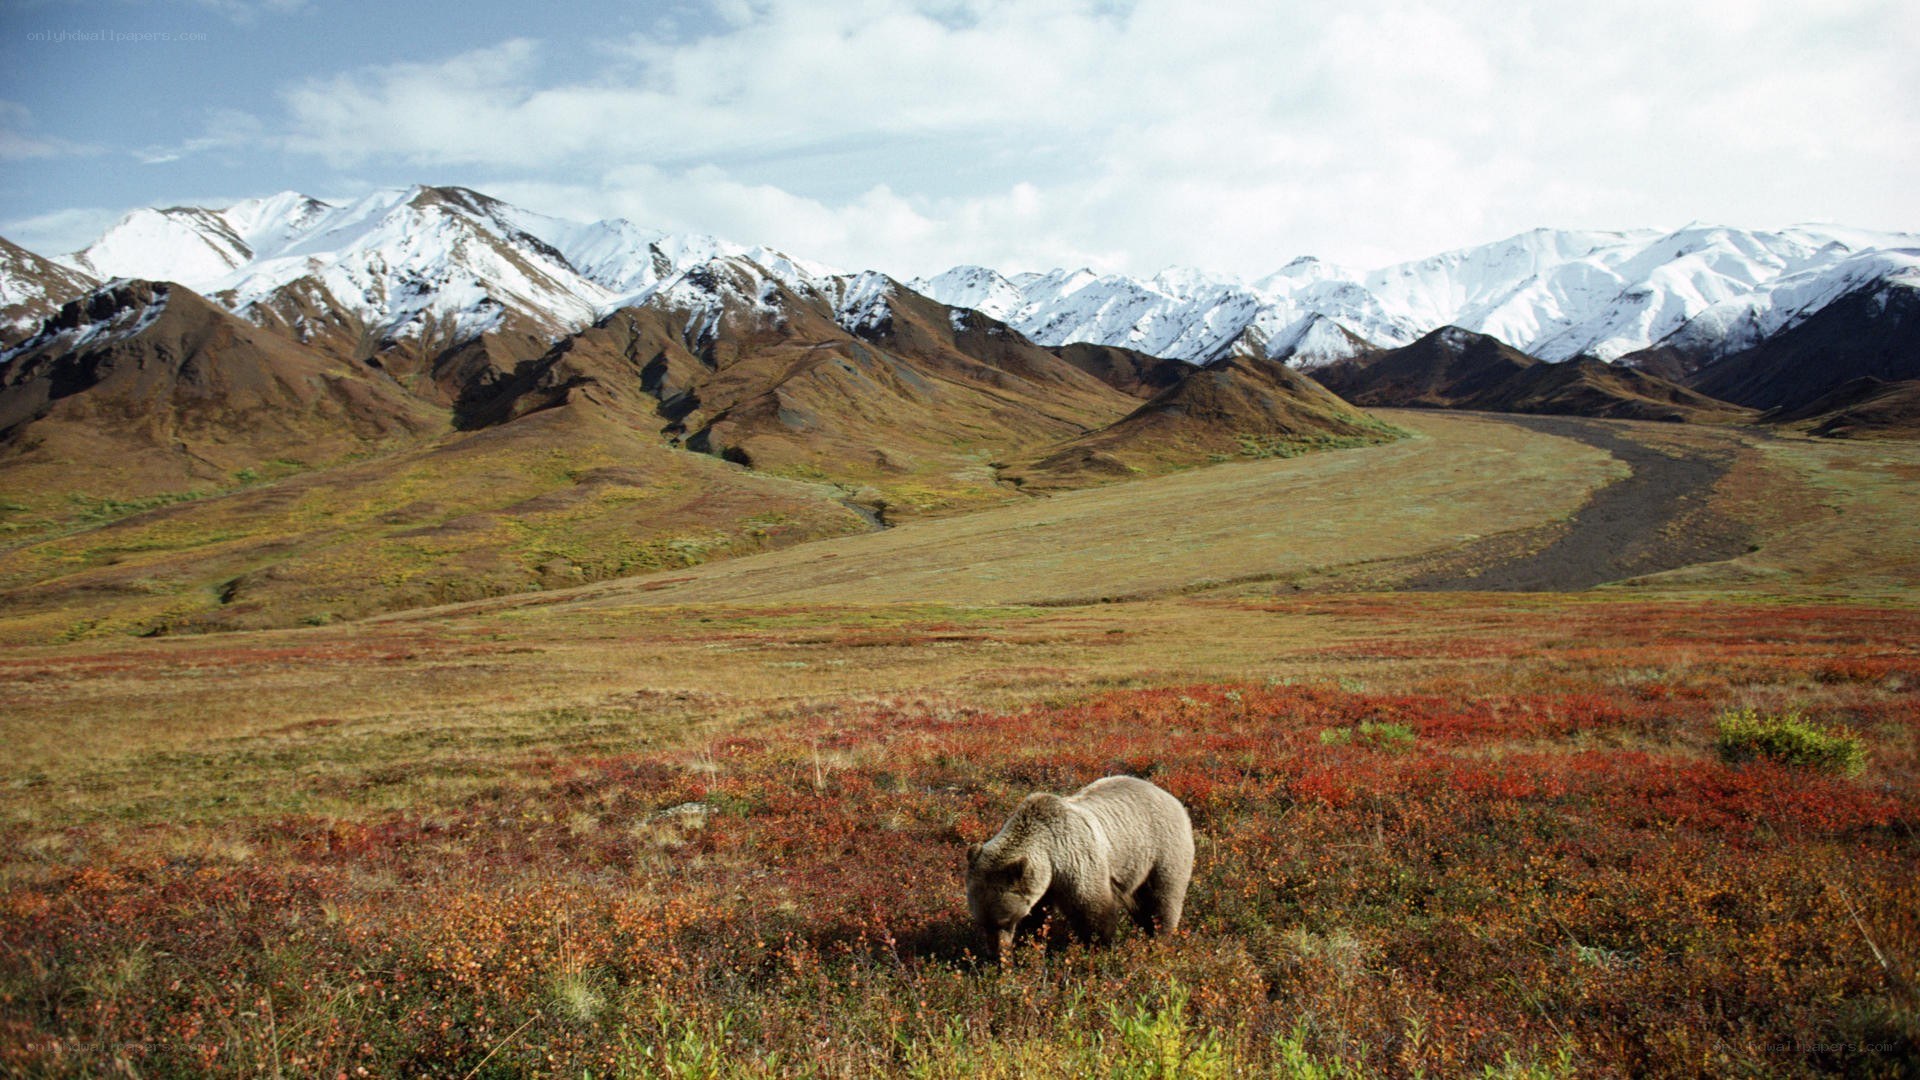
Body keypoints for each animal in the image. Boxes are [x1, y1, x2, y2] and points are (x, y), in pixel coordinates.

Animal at [965, 775, 1194, 961]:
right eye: (982, 922)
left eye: (1005, 921)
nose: (996, 954)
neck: (1051, 858)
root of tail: (1171, 797)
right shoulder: (1042, 885)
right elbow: (1037, 917)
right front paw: (1029, 945)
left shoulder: (1077, 861)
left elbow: (1093, 911)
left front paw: (1098, 948)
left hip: (1162, 851)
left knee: (1163, 898)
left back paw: (1160, 938)